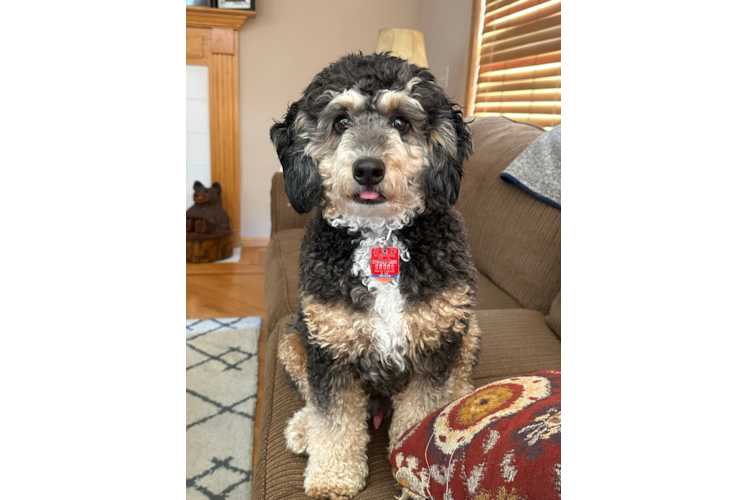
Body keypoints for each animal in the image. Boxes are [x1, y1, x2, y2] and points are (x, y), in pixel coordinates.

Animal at [268, 51, 480, 500]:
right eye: (340, 121)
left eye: (401, 121)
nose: (367, 169)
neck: (379, 235)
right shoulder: (329, 349)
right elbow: (332, 419)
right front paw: (331, 478)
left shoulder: (435, 345)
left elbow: (421, 414)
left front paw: (414, 469)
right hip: (293, 339)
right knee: (310, 397)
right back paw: (303, 428)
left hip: (466, 327)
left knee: (459, 375)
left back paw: (459, 400)